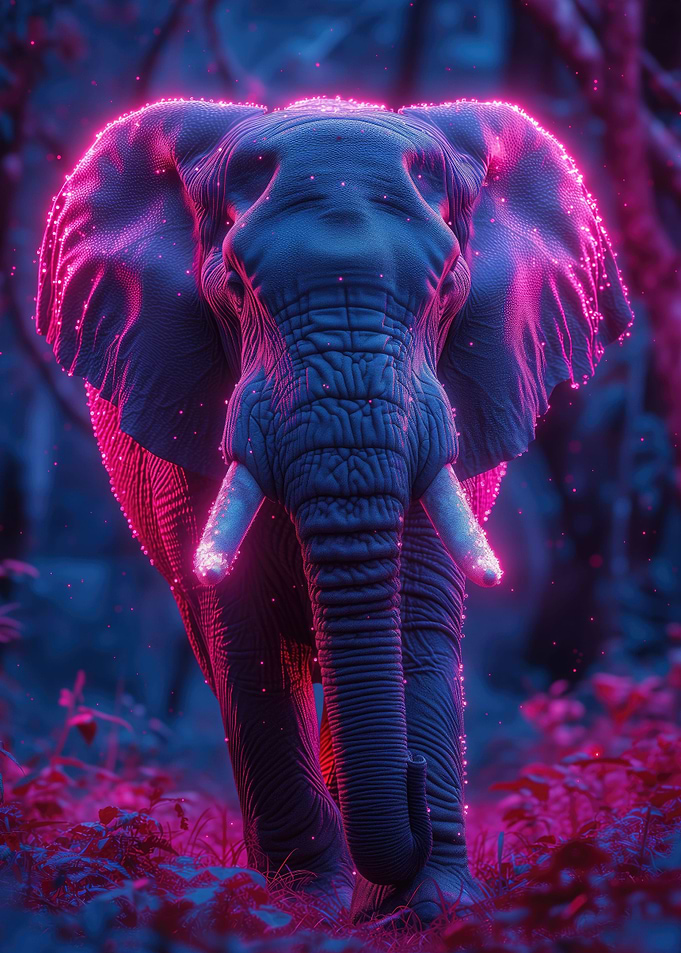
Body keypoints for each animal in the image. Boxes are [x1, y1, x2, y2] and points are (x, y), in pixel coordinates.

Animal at [35, 97, 632, 922]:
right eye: (238, 288)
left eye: (446, 286)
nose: (410, 778)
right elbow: (243, 634)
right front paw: (299, 904)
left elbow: (412, 615)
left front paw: (429, 904)